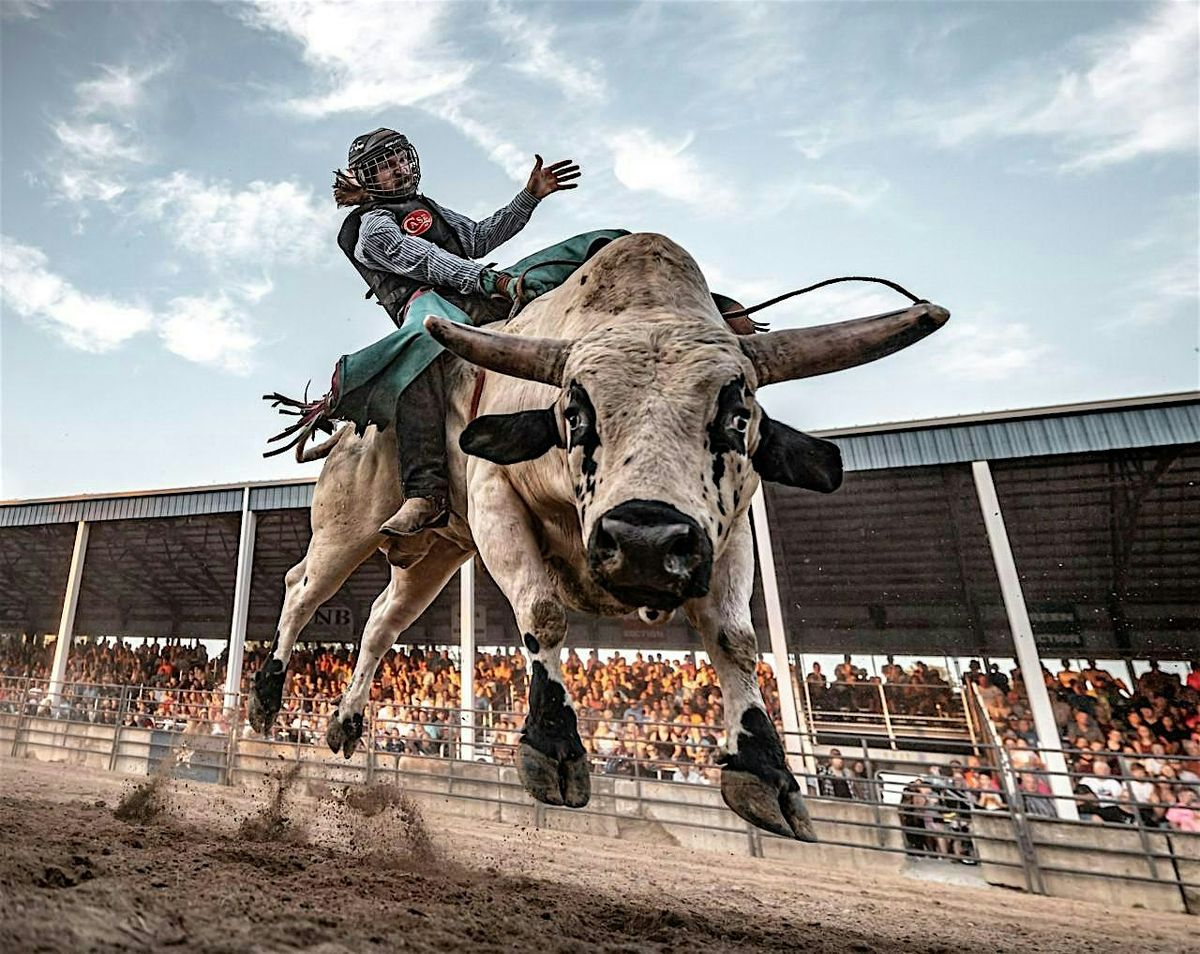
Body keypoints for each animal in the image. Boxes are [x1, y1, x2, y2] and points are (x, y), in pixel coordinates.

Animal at [250, 232, 945, 844]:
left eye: (737, 415)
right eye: (576, 412)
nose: (644, 542)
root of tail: (344, 428)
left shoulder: (727, 532)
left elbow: (737, 640)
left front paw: (765, 772)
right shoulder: (497, 497)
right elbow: (543, 612)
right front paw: (553, 746)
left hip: (437, 552)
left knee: (380, 620)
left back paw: (345, 722)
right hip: (347, 525)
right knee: (303, 589)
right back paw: (264, 696)